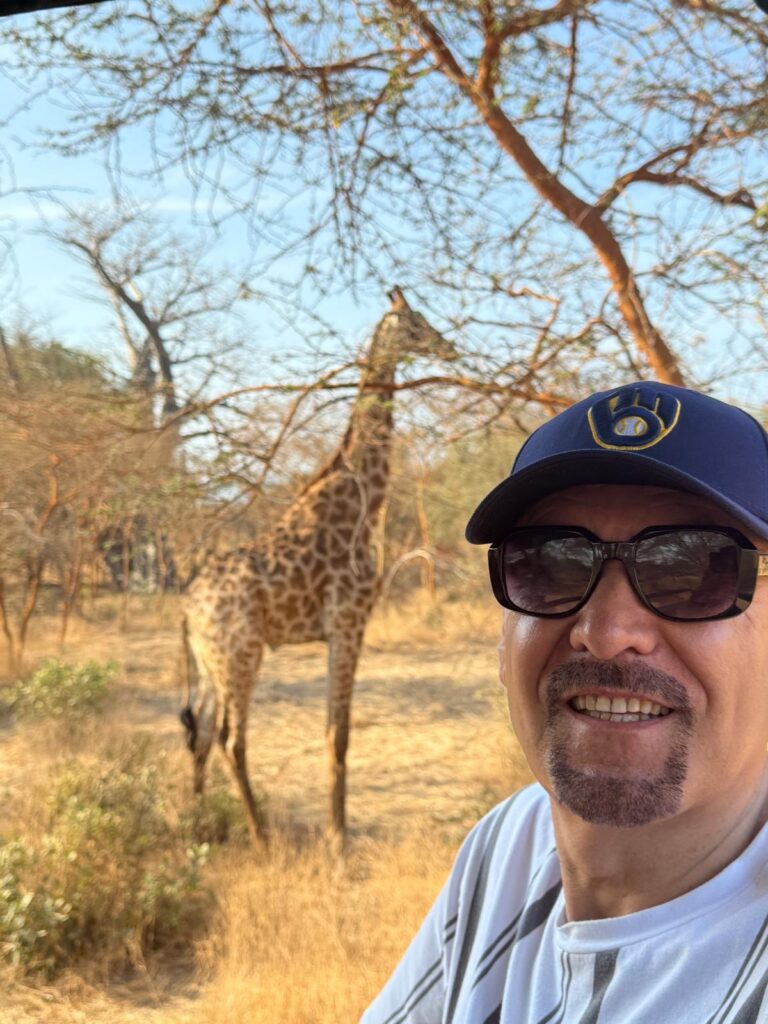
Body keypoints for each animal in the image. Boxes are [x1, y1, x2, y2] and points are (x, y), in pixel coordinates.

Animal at [180, 288, 457, 849]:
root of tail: (185, 608)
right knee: (230, 737)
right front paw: (338, 839)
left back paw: (201, 827)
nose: (448, 346)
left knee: (200, 731)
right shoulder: (349, 623)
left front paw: (337, 831)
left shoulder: (339, 630)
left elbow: (334, 730)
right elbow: (340, 733)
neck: (362, 501)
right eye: (415, 322)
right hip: (241, 654)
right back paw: (261, 837)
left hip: (208, 661)